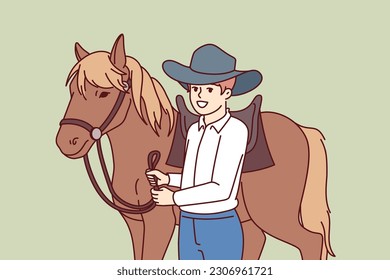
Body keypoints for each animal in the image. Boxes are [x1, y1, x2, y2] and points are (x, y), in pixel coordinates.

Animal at [55, 34, 336, 260]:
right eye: (72, 90)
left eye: (104, 93)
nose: (66, 141)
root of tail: (301, 130)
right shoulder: (136, 224)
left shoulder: (158, 224)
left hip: (274, 215)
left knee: (311, 242)